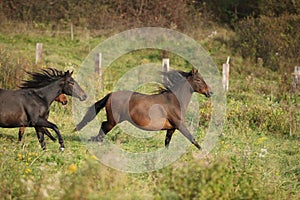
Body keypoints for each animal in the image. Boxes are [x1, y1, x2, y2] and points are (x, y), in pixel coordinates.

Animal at [76, 68, 212, 150]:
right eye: (198, 80)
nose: (210, 92)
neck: (174, 101)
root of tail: (111, 94)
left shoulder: (171, 129)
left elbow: (167, 143)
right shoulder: (180, 125)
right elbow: (192, 139)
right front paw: (203, 152)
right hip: (113, 120)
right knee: (104, 126)